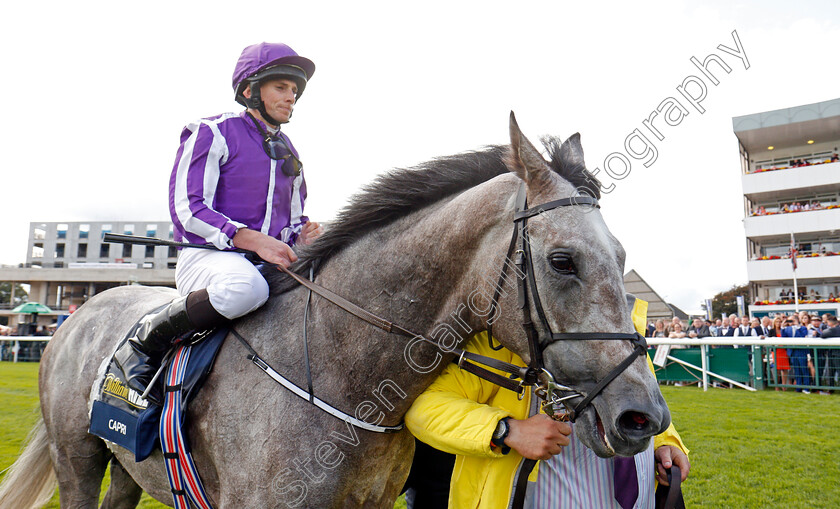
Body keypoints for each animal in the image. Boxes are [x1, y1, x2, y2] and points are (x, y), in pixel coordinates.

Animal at [0, 115, 668, 508]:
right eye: (562, 261)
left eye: (621, 256)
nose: (644, 417)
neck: (342, 373)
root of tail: (83, 312)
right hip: (77, 460)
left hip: (128, 467)